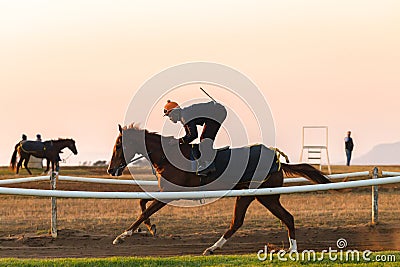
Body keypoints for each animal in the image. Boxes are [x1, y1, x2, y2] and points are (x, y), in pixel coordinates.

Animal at [107, 125, 332, 255]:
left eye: (118, 146)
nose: (110, 169)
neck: (166, 155)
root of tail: (277, 161)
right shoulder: (166, 191)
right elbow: (142, 203)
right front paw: (150, 227)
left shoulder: (170, 193)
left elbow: (144, 210)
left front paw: (123, 235)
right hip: (257, 197)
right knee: (248, 221)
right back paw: (214, 247)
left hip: (261, 196)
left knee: (278, 218)